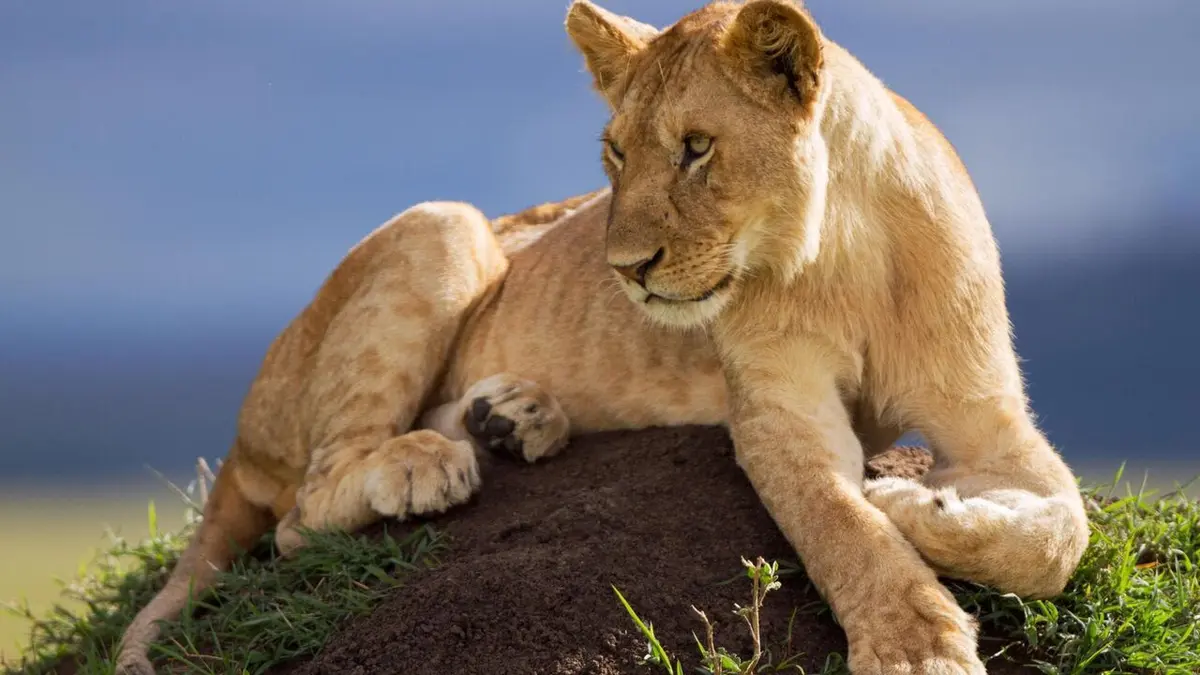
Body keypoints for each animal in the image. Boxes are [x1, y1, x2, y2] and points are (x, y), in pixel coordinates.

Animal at [114, 2, 1089, 674]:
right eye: (616, 153)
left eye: (697, 147)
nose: (625, 267)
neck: (842, 248)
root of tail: (240, 439)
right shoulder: (778, 415)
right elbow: (839, 524)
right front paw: (915, 639)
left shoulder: (986, 412)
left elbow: (1061, 534)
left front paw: (925, 508)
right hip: (443, 223)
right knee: (301, 513)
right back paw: (427, 462)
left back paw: (512, 418)